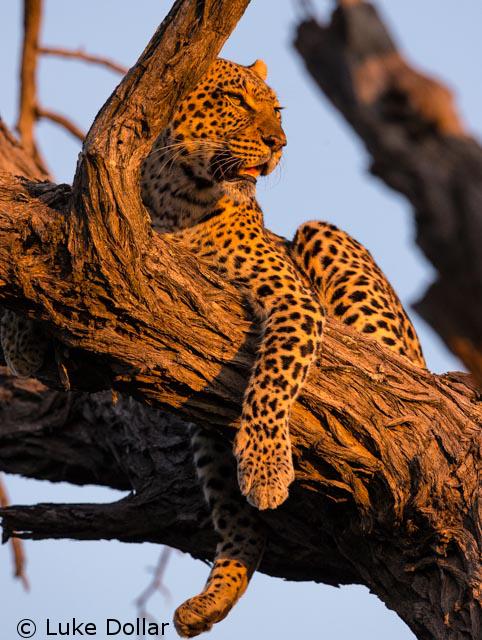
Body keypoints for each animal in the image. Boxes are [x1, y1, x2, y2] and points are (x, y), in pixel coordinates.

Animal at [140, 58, 426, 637]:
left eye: (276, 109)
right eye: (234, 100)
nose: (279, 142)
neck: (175, 201)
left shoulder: (294, 299)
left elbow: (272, 381)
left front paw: (267, 467)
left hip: (324, 237)